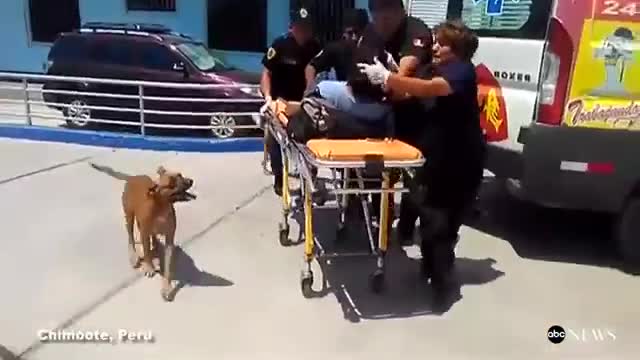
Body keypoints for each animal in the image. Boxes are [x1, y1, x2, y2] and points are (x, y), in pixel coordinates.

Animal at [89, 163, 196, 300]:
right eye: (171, 184)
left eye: (180, 175)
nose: (190, 181)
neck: (160, 207)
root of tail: (132, 177)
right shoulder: (144, 233)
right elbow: (146, 252)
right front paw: (149, 267)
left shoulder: (169, 239)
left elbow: (167, 266)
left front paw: (166, 287)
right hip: (129, 216)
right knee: (130, 237)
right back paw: (134, 256)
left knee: (152, 237)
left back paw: (155, 246)